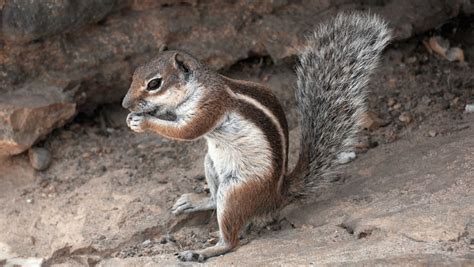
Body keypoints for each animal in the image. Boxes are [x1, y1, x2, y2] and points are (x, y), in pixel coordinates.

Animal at [123, 12, 392, 262]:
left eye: (154, 83)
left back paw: (201, 251)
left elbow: (188, 131)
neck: (197, 86)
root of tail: (277, 195)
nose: (125, 104)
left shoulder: (211, 105)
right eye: (133, 74)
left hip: (236, 191)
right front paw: (138, 116)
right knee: (214, 199)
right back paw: (196, 202)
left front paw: (143, 121)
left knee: (231, 239)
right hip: (210, 164)